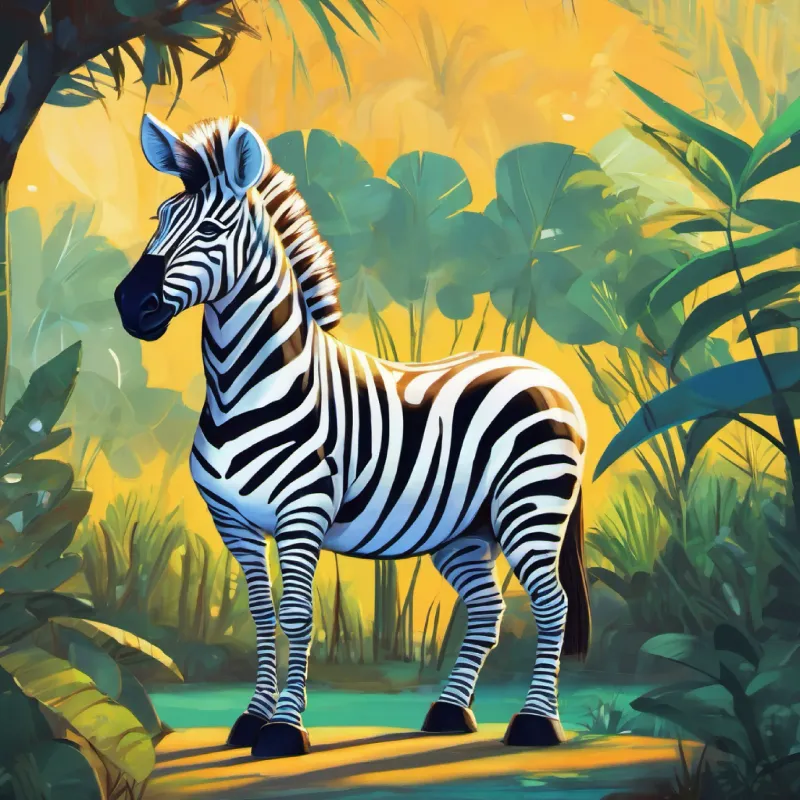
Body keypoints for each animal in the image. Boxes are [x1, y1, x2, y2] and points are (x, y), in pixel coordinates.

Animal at [115, 113, 591, 759]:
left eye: (211, 228)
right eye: (158, 220)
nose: (127, 304)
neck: (245, 385)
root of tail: (546, 373)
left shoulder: (302, 513)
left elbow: (296, 617)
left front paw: (284, 730)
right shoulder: (233, 522)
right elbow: (262, 617)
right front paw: (249, 721)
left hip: (532, 507)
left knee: (551, 606)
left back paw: (537, 724)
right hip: (465, 530)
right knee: (488, 610)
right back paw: (450, 714)